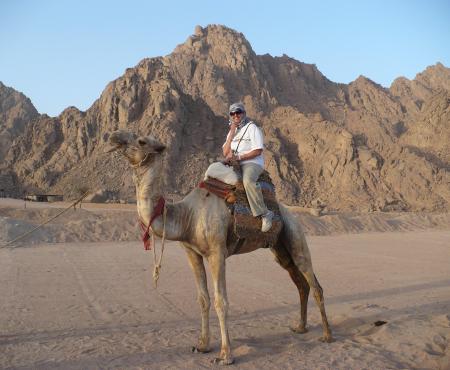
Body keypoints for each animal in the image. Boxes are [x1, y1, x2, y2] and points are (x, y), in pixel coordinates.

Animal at [107, 130, 332, 364]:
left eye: (141, 140)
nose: (114, 137)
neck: (187, 216)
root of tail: (290, 213)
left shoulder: (217, 252)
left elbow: (220, 301)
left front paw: (225, 355)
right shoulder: (192, 252)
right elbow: (203, 299)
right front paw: (202, 345)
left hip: (295, 235)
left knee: (314, 283)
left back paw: (327, 335)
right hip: (279, 249)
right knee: (301, 284)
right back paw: (300, 327)